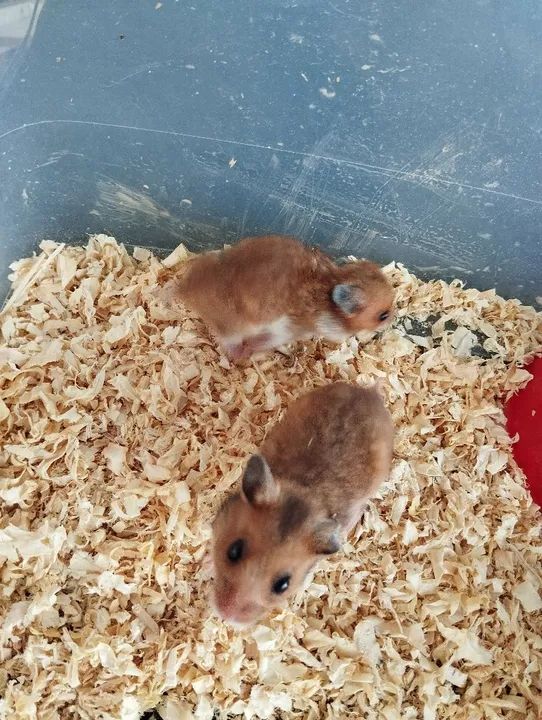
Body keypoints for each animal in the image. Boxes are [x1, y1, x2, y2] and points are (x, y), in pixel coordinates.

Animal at [161, 235, 394, 360]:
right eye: (383, 315)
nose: (393, 320)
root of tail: (186, 289)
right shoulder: (287, 329)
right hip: (232, 326)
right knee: (230, 341)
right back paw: (240, 355)